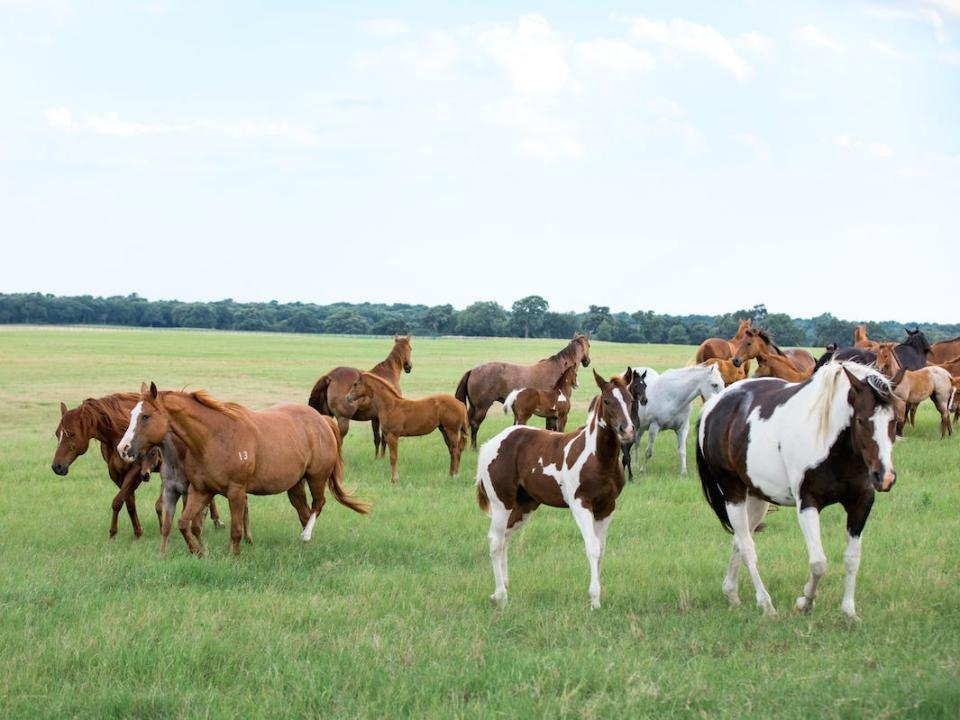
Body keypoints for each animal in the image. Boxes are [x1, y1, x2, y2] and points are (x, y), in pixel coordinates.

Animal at [53, 394, 223, 540]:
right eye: (57, 434)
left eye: (71, 434)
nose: (57, 467)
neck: (116, 434)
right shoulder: (117, 475)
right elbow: (128, 503)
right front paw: (137, 532)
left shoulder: (135, 472)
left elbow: (117, 502)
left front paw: (113, 532)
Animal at [113, 386, 368, 556]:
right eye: (132, 414)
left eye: (146, 416)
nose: (123, 448)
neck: (213, 437)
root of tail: (323, 420)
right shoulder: (201, 491)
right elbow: (185, 523)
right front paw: (199, 552)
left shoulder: (236, 491)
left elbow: (235, 529)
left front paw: (233, 556)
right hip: (295, 486)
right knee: (304, 512)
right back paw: (305, 542)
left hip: (316, 478)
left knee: (318, 505)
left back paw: (306, 535)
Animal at [454, 334, 588, 448]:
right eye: (589, 345)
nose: (587, 361)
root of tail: (472, 371)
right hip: (482, 407)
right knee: (475, 424)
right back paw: (473, 447)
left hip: (473, 407)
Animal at [476, 368, 640, 612]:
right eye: (607, 401)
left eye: (630, 400)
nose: (627, 430)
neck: (598, 458)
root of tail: (490, 444)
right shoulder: (581, 505)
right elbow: (592, 547)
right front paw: (594, 600)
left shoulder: (607, 508)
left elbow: (601, 549)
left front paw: (598, 597)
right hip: (501, 502)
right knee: (495, 541)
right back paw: (501, 596)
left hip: (525, 505)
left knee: (505, 537)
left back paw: (502, 588)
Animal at [692, 362, 896, 620]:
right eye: (860, 420)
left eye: (894, 420)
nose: (885, 477)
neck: (833, 445)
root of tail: (713, 406)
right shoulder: (808, 503)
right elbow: (818, 563)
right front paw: (804, 603)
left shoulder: (861, 502)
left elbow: (852, 559)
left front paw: (849, 612)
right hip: (733, 492)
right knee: (747, 547)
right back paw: (766, 604)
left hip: (757, 497)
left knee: (739, 539)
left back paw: (731, 593)